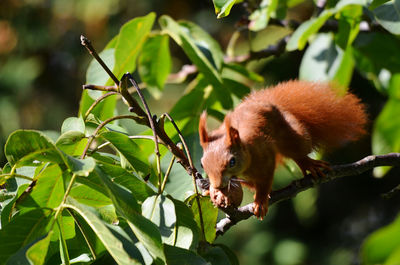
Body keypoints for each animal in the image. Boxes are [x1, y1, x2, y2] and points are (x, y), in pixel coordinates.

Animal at [198, 79, 368, 218]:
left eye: (232, 161)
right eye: (202, 164)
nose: (217, 185)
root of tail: (264, 101)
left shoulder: (264, 156)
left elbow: (265, 179)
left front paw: (260, 200)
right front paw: (214, 192)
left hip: (291, 135)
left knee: (297, 151)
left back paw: (308, 164)